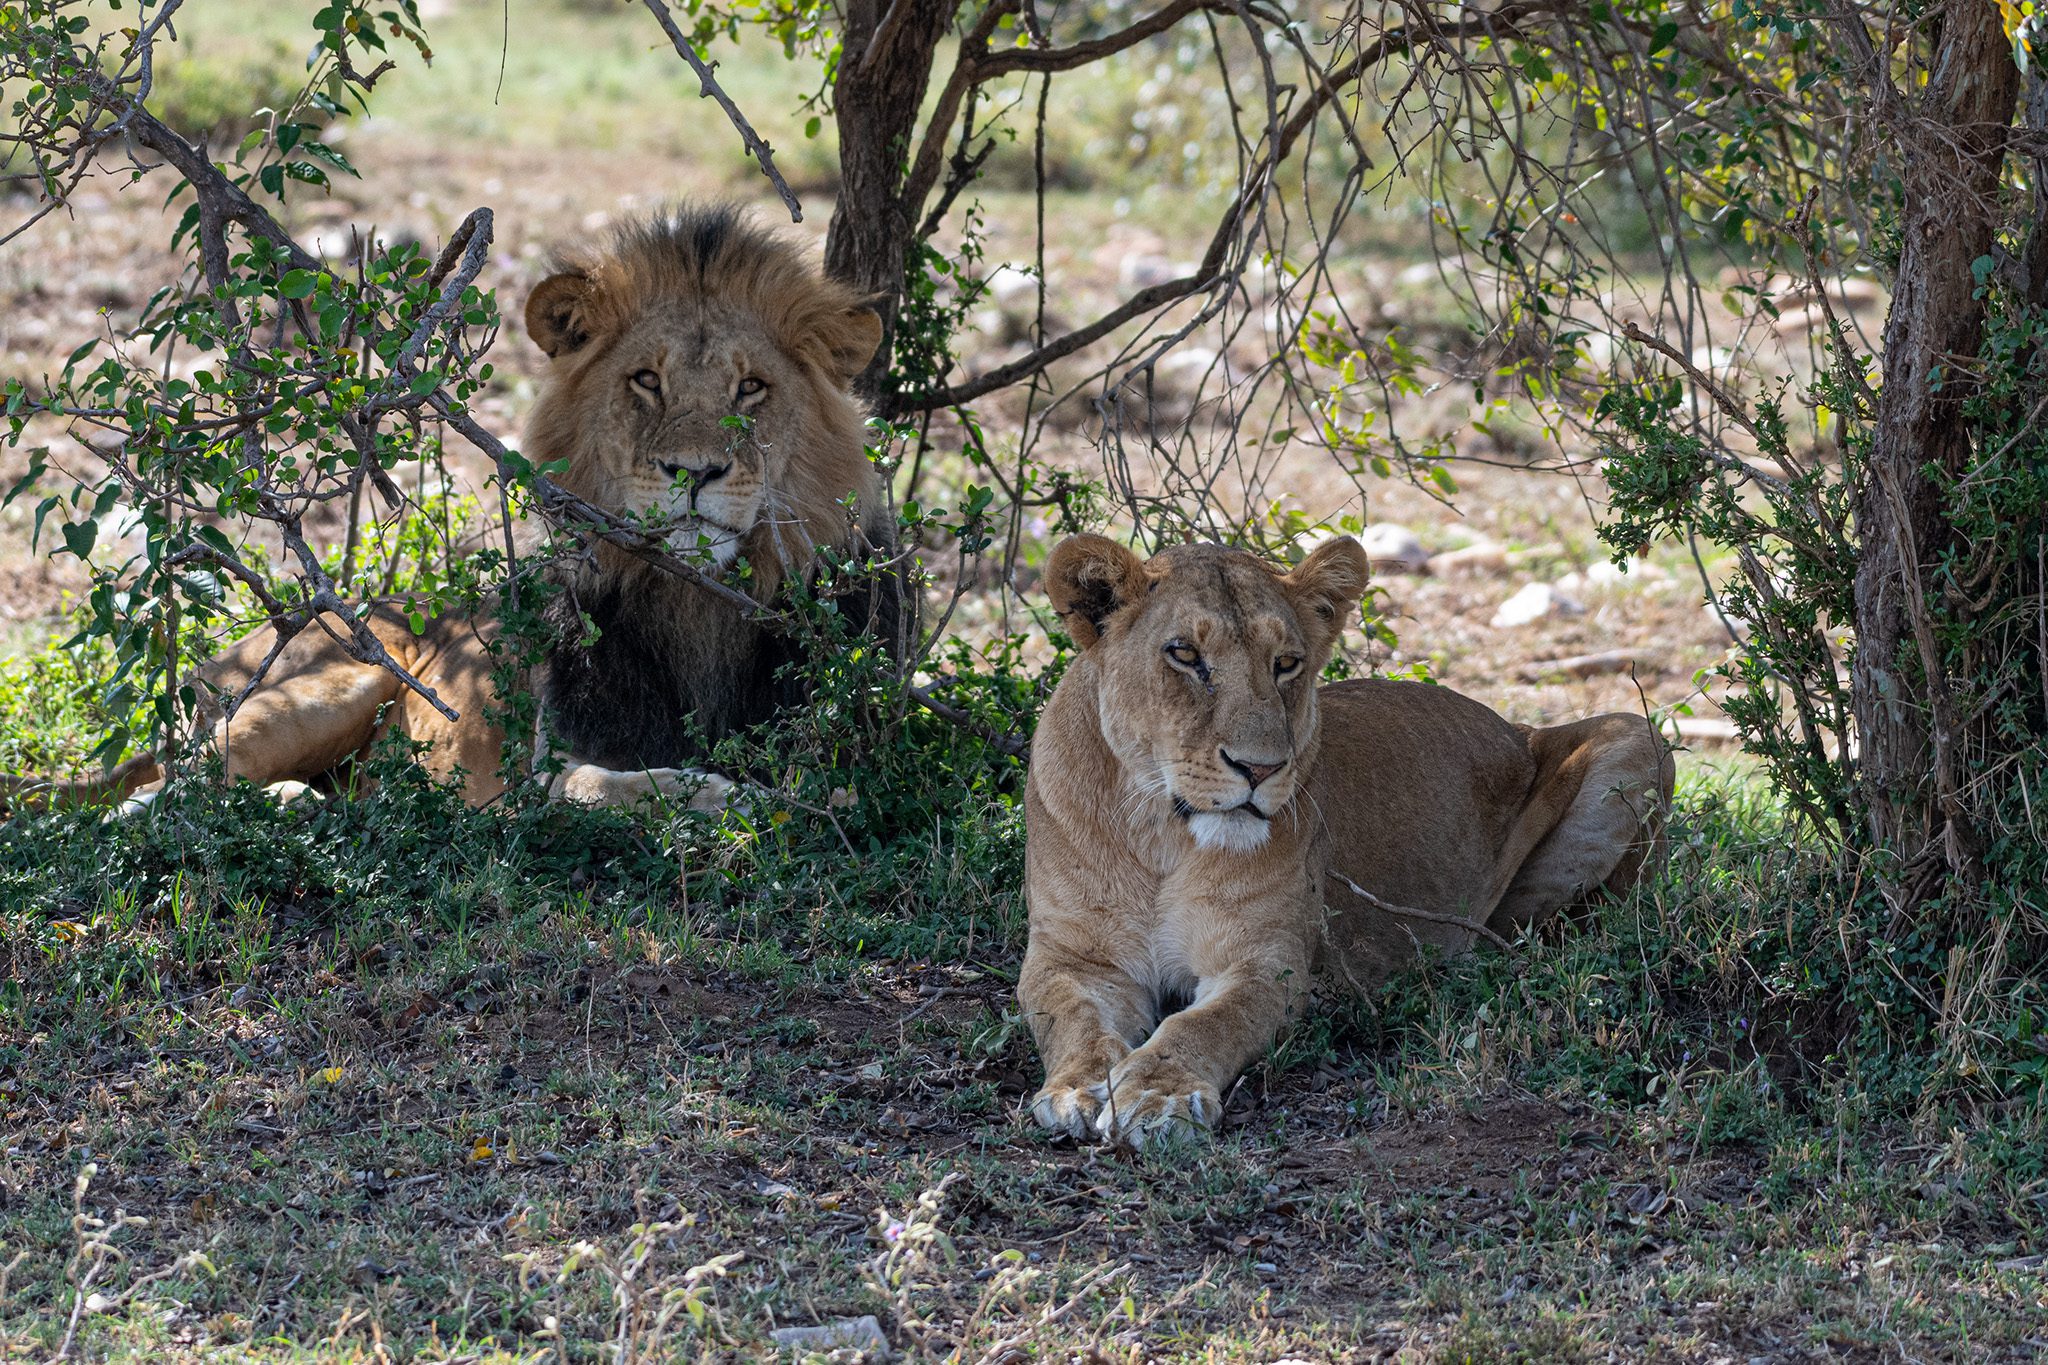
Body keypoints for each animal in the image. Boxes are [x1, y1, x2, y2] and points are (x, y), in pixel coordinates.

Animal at [12, 202, 897, 810]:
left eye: (752, 388)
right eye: (646, 380)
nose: (695, 471)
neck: (696, 606)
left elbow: (830, 783)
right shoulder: (545, 775)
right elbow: (616, 784)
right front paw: (732, 799)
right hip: (328, 684)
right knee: (158, 796)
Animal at [1015, 532, 1671, 1146]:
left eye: (1285, 663)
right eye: (1184, 654)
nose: (1260, 769)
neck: (1162, 837)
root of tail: (1518, 728)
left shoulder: (1267, 965)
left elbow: (1205, 1024)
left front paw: (1157, 1093)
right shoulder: (1071, 956)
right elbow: (1070, 1017)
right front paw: (1078, 1089)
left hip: (1640, 738)